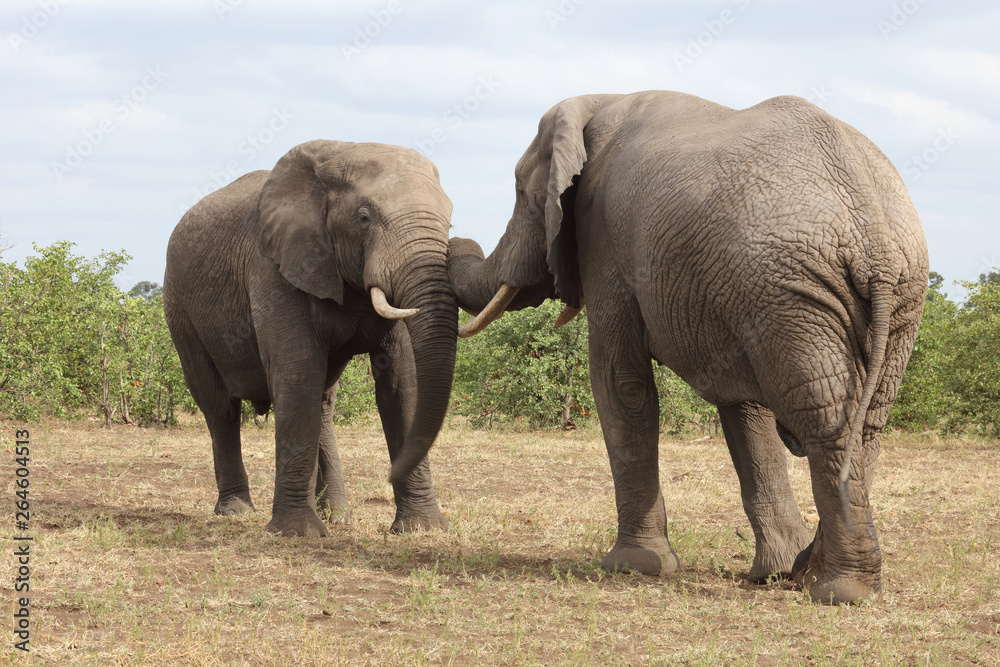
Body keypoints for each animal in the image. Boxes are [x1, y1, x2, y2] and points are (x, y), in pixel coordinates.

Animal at [165, 141, 458, 536]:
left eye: (450, 221)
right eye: (364, 217)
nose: (387, 475)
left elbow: (402, 381)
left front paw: (421, 530)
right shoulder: (272, 267)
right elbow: (298, 371)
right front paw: (297, 533)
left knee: (322, 404)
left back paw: (338, 516)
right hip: (180, 309)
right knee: (219, 406)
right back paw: (236, 511)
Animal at [446, 91, 928, 604]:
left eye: (522, 192)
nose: (456, 236)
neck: (598, 102)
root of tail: (874, 235)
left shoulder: (605, 240)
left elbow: (619, 382)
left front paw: (632, 567)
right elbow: (746, 408)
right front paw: (771, 573)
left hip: (796, 290)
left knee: (827, 421)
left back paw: (838, 591)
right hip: (871, 294)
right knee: (867, 424)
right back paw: (809, 574)